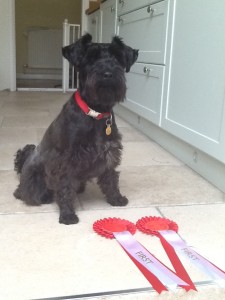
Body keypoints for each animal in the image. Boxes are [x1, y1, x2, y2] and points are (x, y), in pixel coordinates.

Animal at [14, 34, 138, 224]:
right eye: (91, 58)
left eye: (117, 58)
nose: (108, 74)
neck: (95, 112)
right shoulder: (65, 160)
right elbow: (65, 188)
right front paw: (67, 215)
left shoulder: (109, 152)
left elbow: (110, 178)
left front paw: (116, 199)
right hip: (34, 178)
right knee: (25, 192)